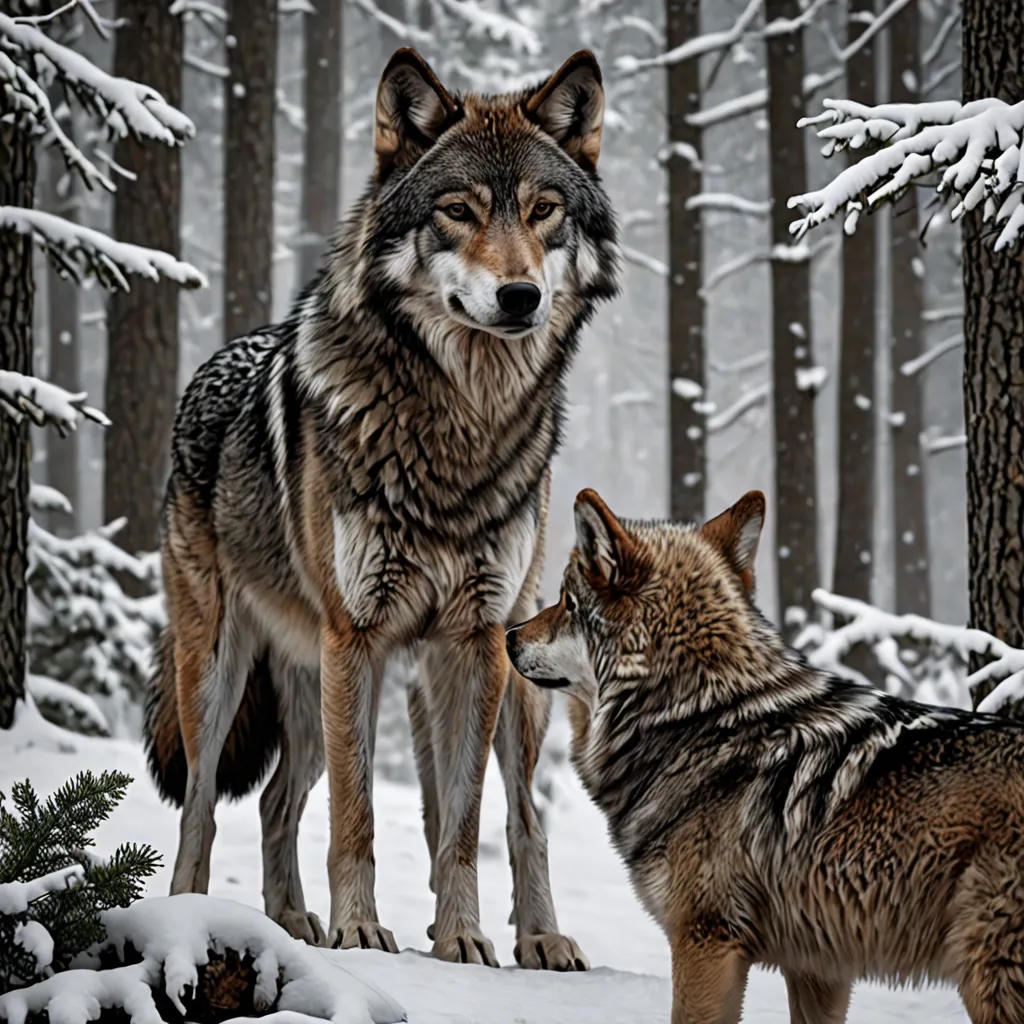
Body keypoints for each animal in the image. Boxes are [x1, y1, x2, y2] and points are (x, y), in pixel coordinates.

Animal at [143, 48, 619, 970]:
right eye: (458, 210)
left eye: (543, 211)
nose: (520, 296)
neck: (459, 426)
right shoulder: (355, 637)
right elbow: (355, 814)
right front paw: (363, 932)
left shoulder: (474, 641)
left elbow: (464, 824)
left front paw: (462, 937)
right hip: (226, 670)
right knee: (207, 806)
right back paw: (202, 919)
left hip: (479, 678)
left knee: (503, 814)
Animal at [507, 488, 1024, 1023]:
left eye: (566, 602)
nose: (509, 636)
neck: (697, 716)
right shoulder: (819, 969)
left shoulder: (707, 940)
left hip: (990, 980)